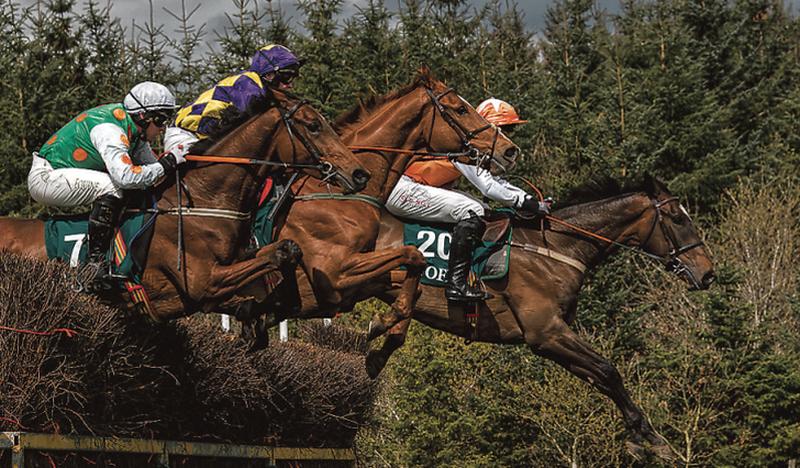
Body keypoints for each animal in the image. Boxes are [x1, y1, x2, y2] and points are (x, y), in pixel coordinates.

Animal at [0, 88, 368, 322]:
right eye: (313, 125)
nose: (359, 173)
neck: (202, 204)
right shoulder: (205, 283)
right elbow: (280, 253)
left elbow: (286, 252)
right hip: (53, 183)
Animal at [366, 175, 716, 458]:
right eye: (677, 218)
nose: (708, 273)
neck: (559, 246)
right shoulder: (546, 332)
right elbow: (609, 370)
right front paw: (648, 437)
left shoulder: (552, 340)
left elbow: (600, 378)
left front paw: (643, 435)